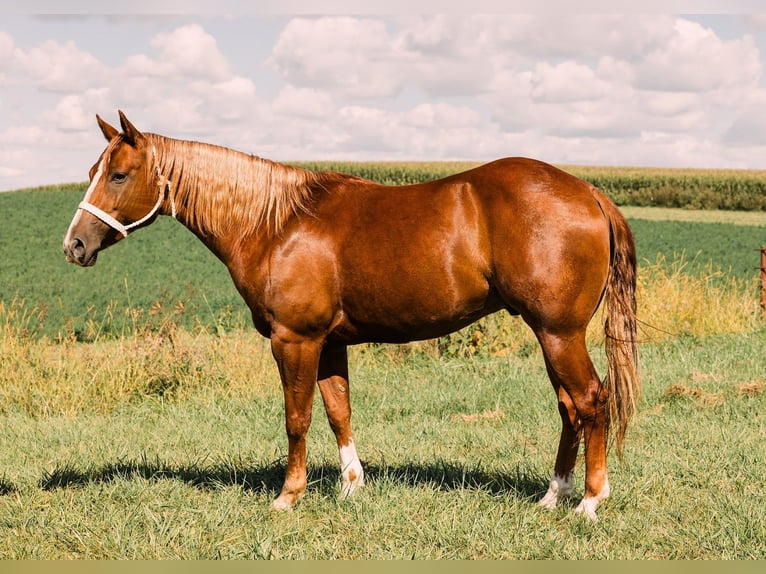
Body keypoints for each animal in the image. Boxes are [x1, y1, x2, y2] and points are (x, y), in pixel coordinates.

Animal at [63, 111, 639, 521]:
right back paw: (553, 496)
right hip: (549, 334)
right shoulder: (330, 342)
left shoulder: (294, 339)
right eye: (92, 171)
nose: (74, 246)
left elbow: (297, 417)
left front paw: (288, 496)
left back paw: (589, 501)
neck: (276, 223)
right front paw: (351, 486)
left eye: (119, 175)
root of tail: (589, 191)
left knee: (592, 400)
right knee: (570, 408)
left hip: (559, 333)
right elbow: (338, 410)